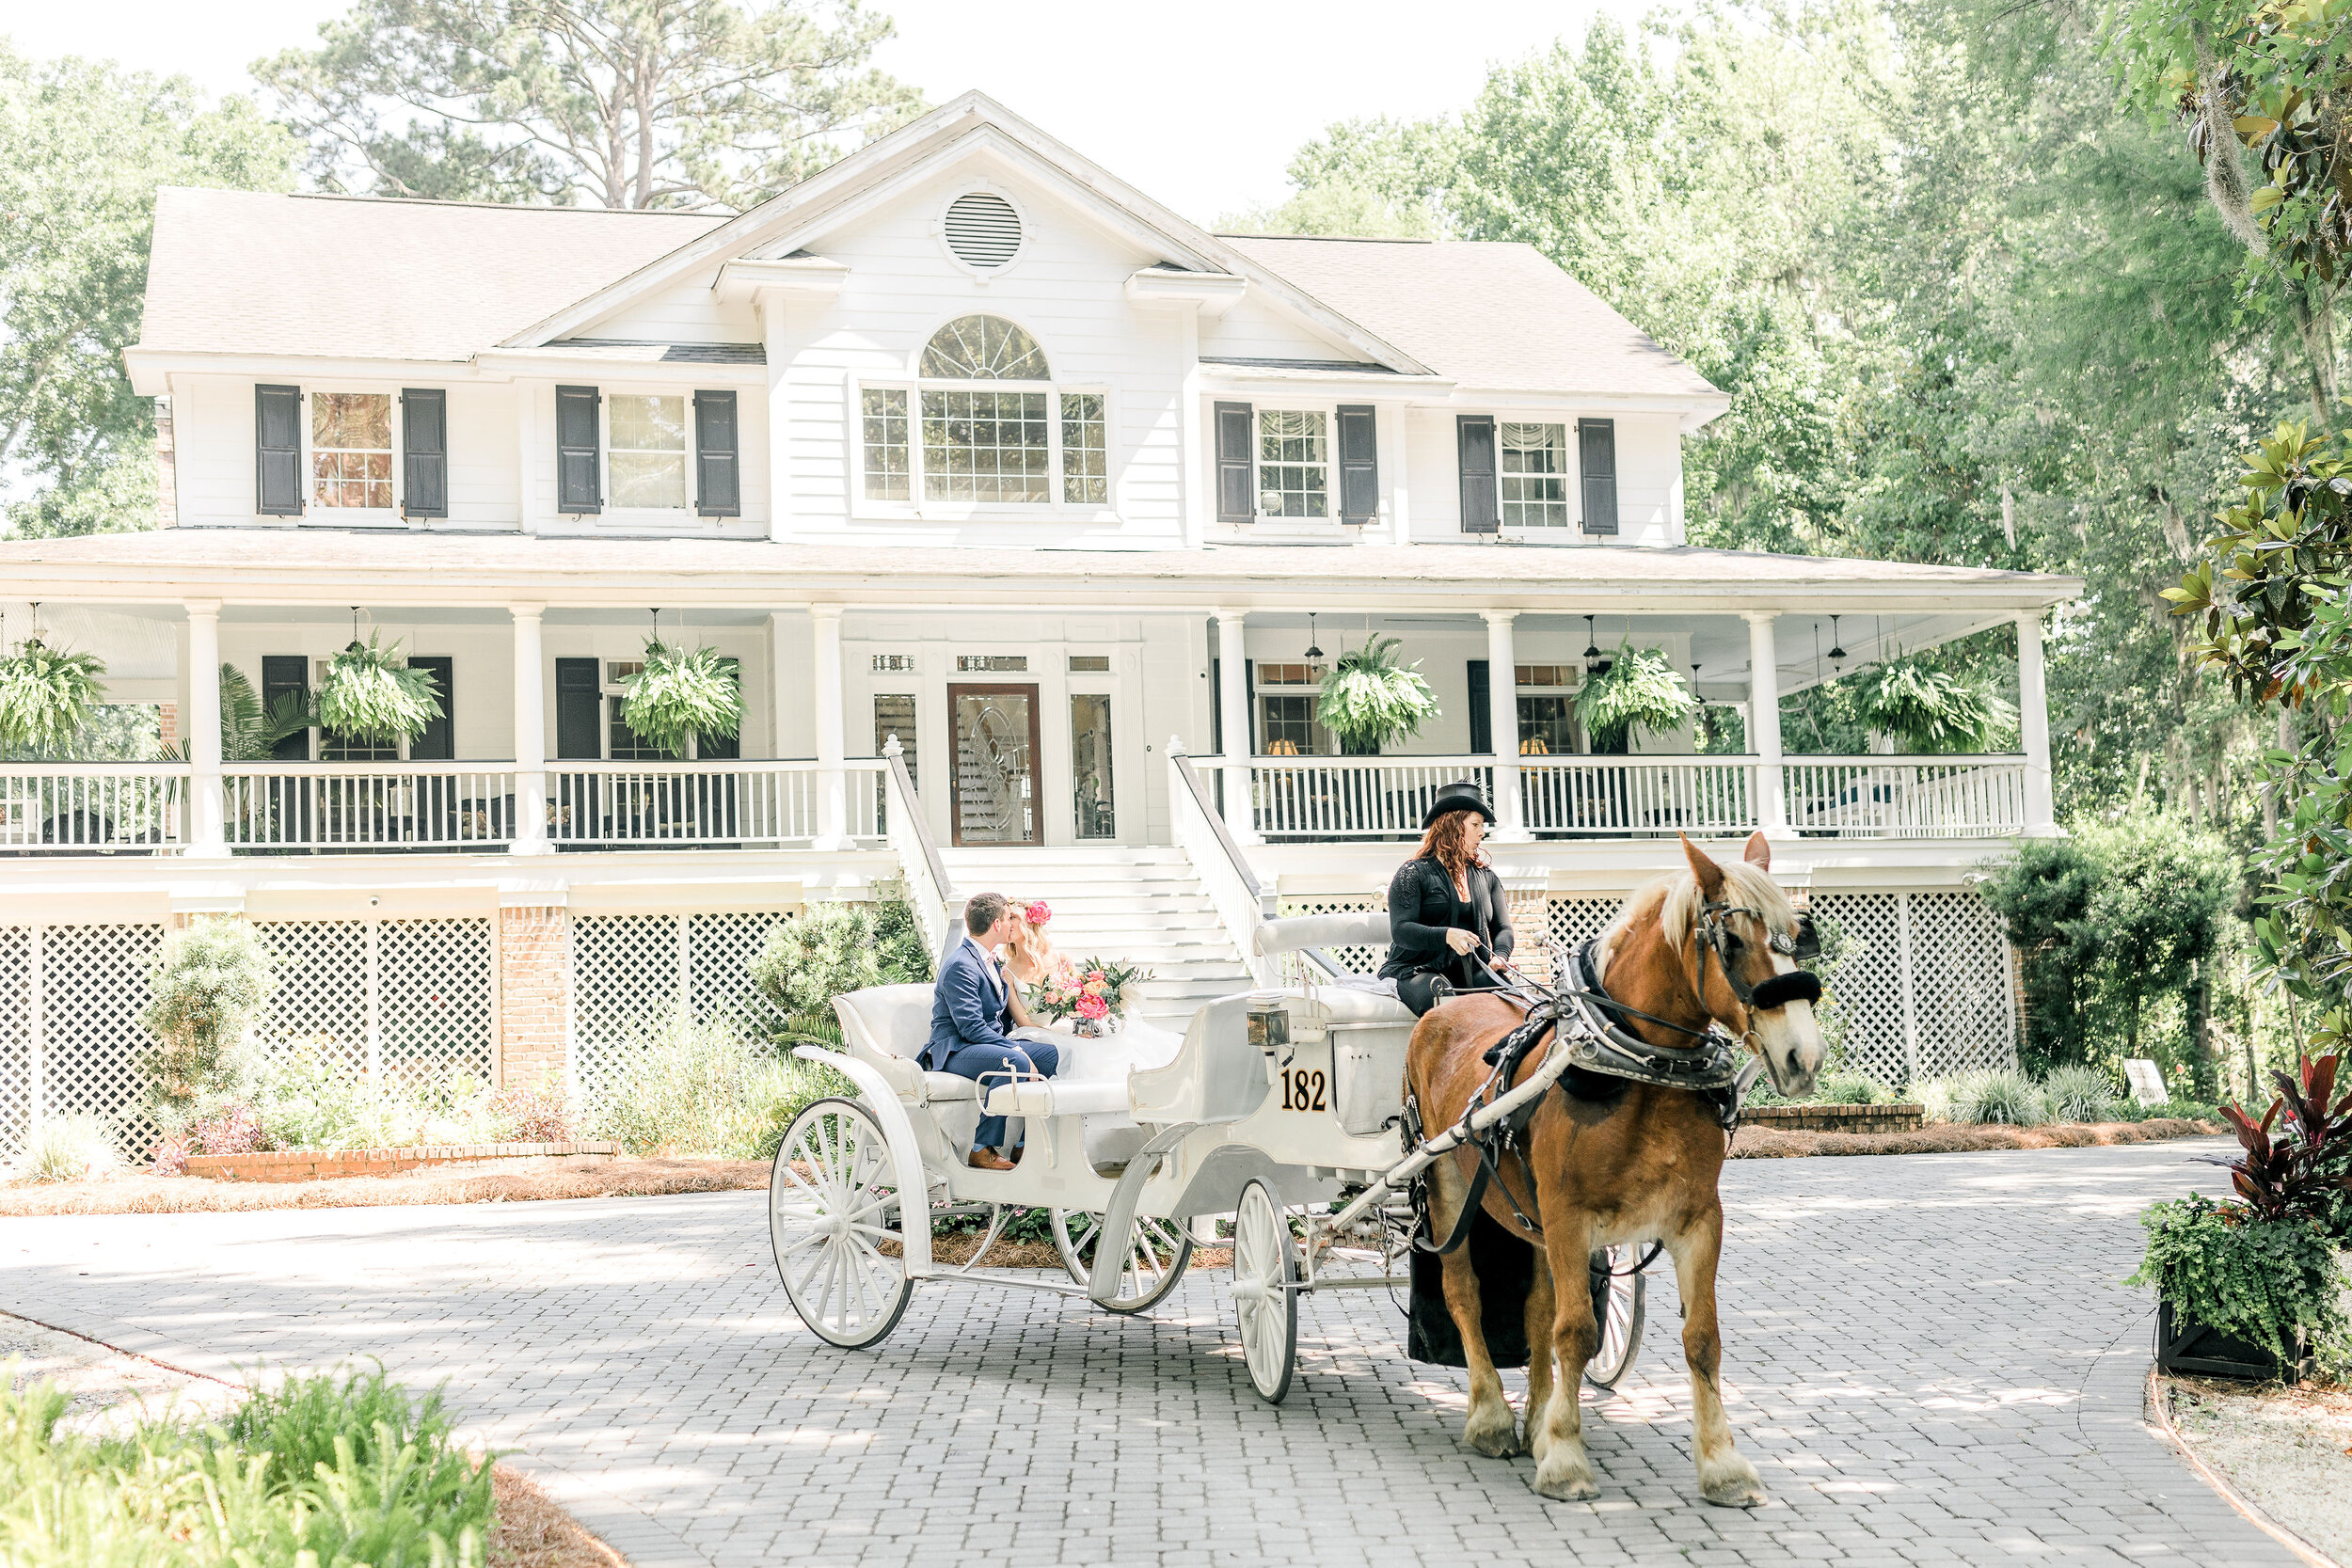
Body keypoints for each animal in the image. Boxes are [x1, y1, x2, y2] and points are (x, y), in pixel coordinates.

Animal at [1402, 832, 1825, 1504]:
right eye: (1732, 941)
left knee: (1536, 1310)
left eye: (1799, 933)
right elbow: (1575, 1332)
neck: (1638, 1069)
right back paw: (1491, 1416)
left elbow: (1700, 1337)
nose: (1802, 1057)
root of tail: (1446, 1005)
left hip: (1530, 1215)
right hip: (1447, 1187)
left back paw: (1535, 1420)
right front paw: (1566, 1458)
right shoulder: (1570, 1219)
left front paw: (1723, 1464)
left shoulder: (1697, 1219)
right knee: (1464, 1294)